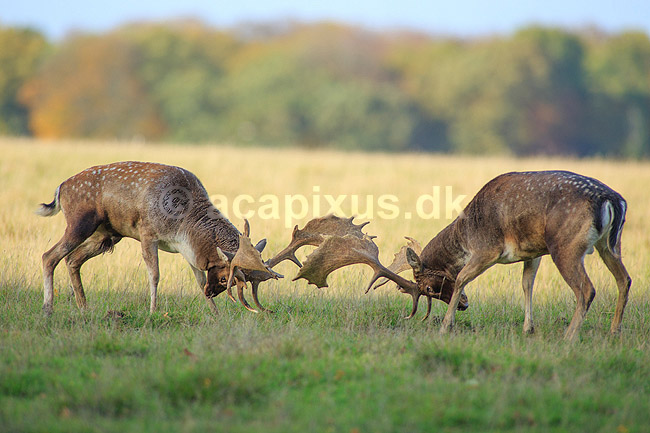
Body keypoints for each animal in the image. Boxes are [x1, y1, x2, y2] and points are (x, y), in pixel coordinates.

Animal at [37, 161, 278, 316]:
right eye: (224, 279)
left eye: (232, 281)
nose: (211, 293)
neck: (182, 225)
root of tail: (61, 188)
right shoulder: (147, 232)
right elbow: (154, 275)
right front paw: (153, 311)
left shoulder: (188, 250)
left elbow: (199, 279)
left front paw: (216, 313)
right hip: (79, 223)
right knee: (49, 256)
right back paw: (48, 308)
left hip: (105, 235)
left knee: (72, 260)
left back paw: (84, 308)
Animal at [293, 171, 631, 341]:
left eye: (429, 288)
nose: (466, 306)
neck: (466, 233)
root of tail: (613, 200)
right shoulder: (532, 252)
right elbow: (527, 284)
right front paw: (528, 328)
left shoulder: (488, 249)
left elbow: (463, 278)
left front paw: (446, 325)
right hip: (609, 245)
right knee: (624, 280)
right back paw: (614, 331)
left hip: (566, 245)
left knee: (586, 289)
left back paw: (569, 337)